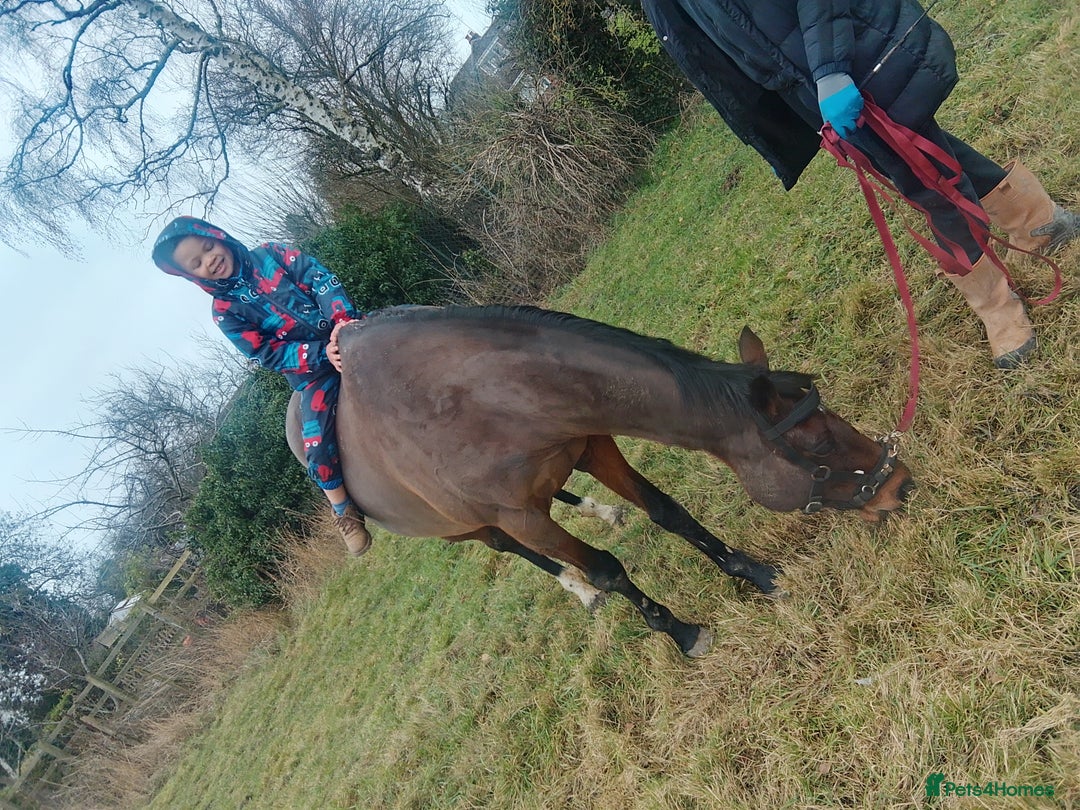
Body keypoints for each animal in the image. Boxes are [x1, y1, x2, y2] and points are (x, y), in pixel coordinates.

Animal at [286, 305, 914, 657]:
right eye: (817, 444)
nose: (899, 483)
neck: (470, 402)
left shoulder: (591, 445)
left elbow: (669, 512)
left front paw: (757, 573)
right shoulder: (522, 516)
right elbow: (608, 569)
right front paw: (682, 633)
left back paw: (601, 512)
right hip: (464, 530)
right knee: (505, 547)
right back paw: (580, 589)